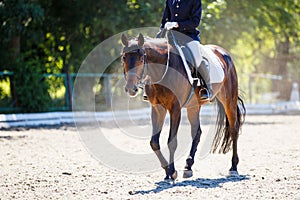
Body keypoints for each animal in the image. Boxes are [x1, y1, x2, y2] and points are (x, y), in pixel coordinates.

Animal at [120, 32, 245, 180]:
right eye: (123, 58)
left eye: (141, 58)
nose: (131, 88)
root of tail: (223, 53)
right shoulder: (157, 108)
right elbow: (154, 142)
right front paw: (167, 171)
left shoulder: (175, 108)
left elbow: (172, 142)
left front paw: (172, 171)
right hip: (194, 106)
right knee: (197, 133)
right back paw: (188, 166)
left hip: (229, 100)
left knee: (234, 129)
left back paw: (234, 167)